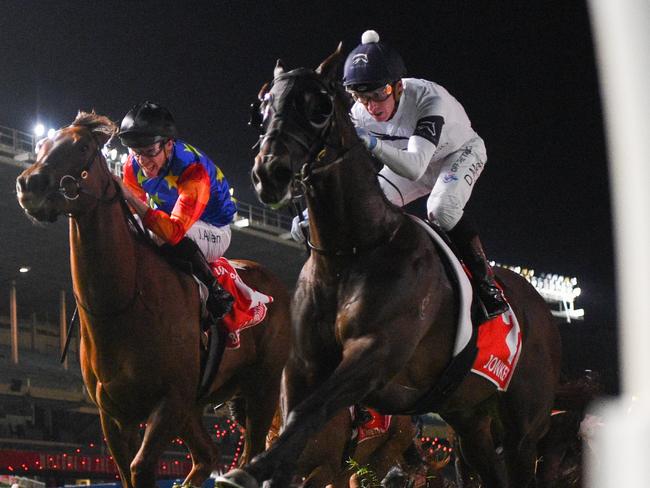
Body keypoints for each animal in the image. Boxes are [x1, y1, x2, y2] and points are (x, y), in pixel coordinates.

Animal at [15, 112, 290, 488]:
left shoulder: (169, 402)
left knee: (251, 455)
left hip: (263, 385)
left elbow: (141, 467)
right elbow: (127, 470)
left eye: (82, 146)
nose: (31, 184)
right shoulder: (114, 414)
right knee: (207, 456)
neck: (124, 305)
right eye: (41, 145)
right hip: (197, 406)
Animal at [214, 46, 560, 488]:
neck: (352, 252)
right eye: (262, 108)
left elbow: (311, 413)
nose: (269, 172)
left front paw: (250, 469)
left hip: (523, 427)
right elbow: (295, 419)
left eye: (320, 107)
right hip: (468, 418)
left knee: (445, 206)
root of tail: (541, 309)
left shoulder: (377, 351)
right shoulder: (305, 362)